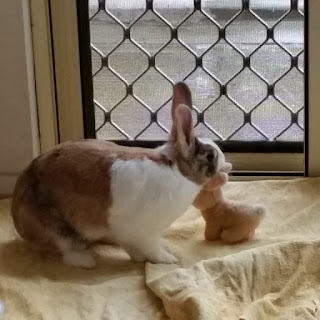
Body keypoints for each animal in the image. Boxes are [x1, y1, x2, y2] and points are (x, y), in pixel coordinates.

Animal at [10, 82, 225, 268]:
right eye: (210, 155)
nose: (224, 162)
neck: (178, 170)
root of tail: (16, 216)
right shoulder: (148, 233)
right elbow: (153, 249)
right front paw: (168, 259)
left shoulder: (129, 234)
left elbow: (133, 248)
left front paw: (139, 258)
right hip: (58, 228)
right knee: (68, 251)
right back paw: (87, 262)